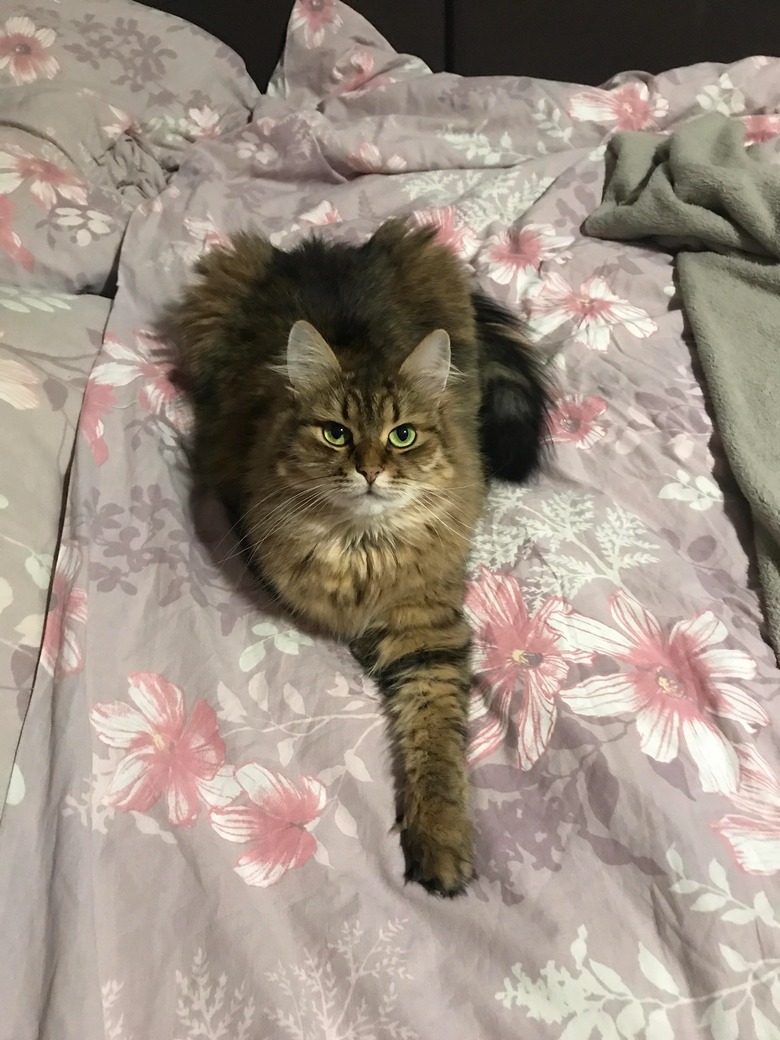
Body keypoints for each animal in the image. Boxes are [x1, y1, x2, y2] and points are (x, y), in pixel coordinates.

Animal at [168, 219, 553, 894]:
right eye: (336, 433)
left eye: (403, 435)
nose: (371, 471)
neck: (362, 549)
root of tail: (330, 248)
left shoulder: (428, 633)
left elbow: (436, 748)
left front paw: (442, 841)